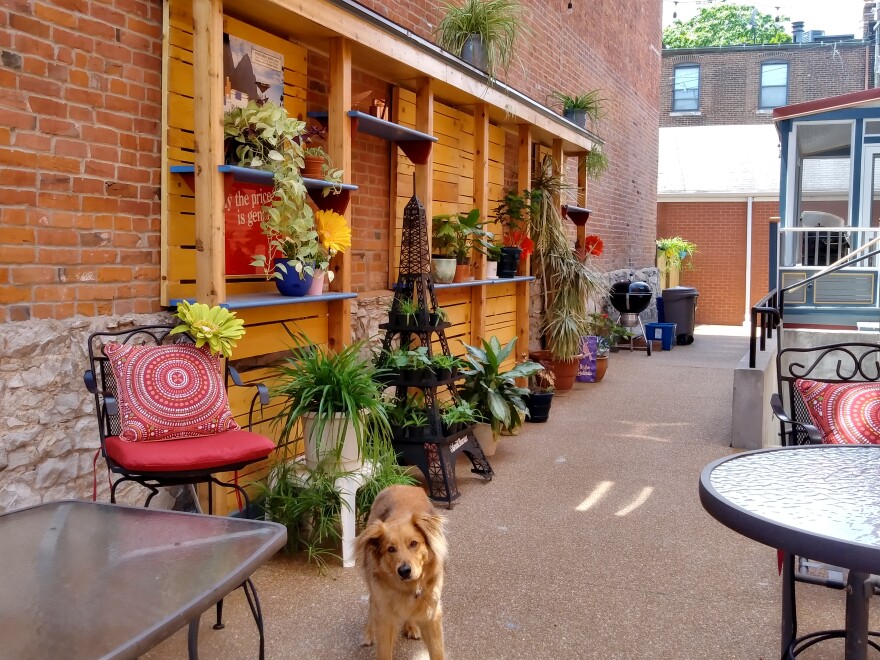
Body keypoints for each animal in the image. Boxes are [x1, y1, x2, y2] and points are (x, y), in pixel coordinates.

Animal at [354, 484, 446, 660]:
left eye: (413, 543)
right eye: (391, 549)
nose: (404, 571)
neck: (409, 588)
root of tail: (401, 485)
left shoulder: (432, 617)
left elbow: (437, 652)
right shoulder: (385, 620)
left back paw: (411, 626)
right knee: (371, 602)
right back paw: (368, 633)